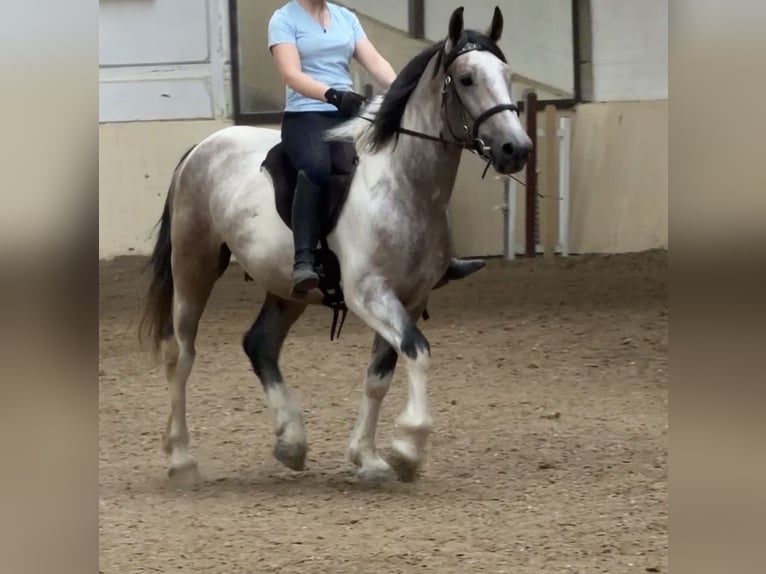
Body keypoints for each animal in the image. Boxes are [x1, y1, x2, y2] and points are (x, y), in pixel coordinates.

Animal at [139, 6, 532, 483]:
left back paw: (291, 442)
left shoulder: (411, 297)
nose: (516, 149)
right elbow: (418, 351)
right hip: (194, 265)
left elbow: (380, 375)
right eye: (468, 78)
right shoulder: (369, 293)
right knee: (181, 354)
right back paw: (182, 458)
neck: (405, 185)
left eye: (507, 74)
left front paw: (369, 457)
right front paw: (407, 446)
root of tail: (202, 146)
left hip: (286, 286)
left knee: (259, 343)